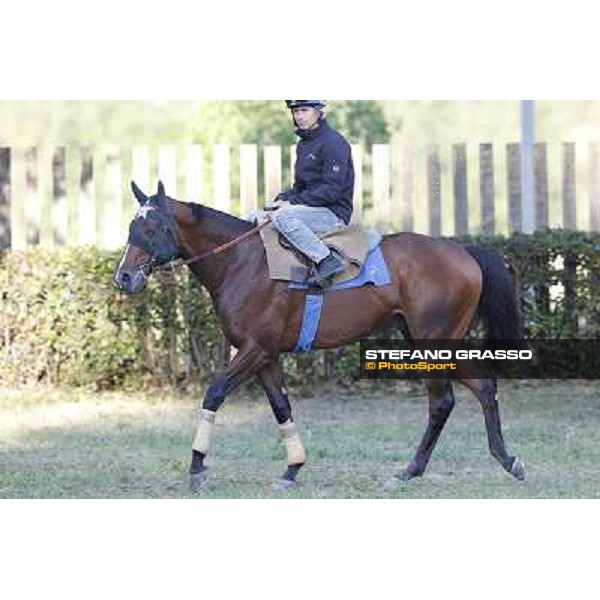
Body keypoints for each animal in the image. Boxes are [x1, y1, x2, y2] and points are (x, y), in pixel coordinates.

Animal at [112, 180, 524, 490]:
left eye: (150, 228)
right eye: (131, 227)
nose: (124, 277)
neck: (242, 261)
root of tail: (462, 250)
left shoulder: (253, 349)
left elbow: (214, 392)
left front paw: (197, 466)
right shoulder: (266, 355)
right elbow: (281, 406)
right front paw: (293, 467)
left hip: (433, 341)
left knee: (442, 402)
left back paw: (412, 470)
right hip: (432, 340)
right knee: (482, 386)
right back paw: (504, 460)